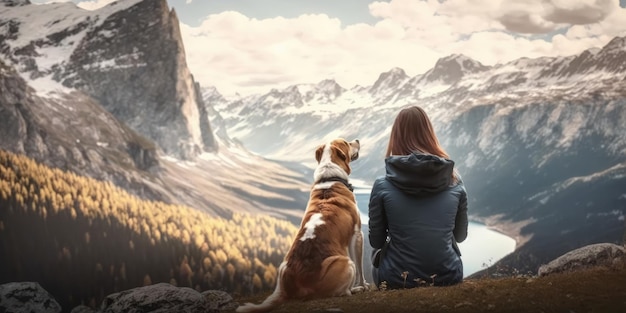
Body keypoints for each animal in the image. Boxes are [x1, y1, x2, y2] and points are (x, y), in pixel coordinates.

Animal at [236, 138, 368, 312]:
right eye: (347, 143)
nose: (357, 140)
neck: (330, 178)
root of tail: (289, 286)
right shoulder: (357, 234)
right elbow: (360, 266)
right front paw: (364, 285)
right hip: (345, 263)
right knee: (343, 291)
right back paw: (355, 289)